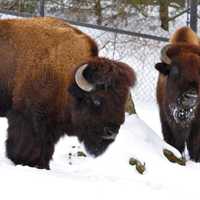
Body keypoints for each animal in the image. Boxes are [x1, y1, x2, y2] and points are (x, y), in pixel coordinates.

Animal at [0, 16, 136, 169]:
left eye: (123, 100)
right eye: (96, 100)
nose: (111, 132)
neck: (66, 77)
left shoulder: (51, 127)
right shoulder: (29, 118)